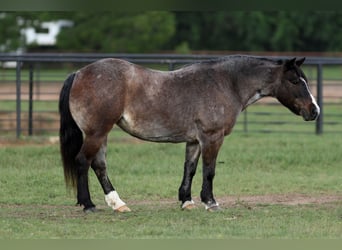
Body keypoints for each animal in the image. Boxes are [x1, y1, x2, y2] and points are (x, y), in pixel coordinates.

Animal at [59, 55, 320, 213]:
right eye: (295, 81)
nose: (314, 111)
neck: (227, 83)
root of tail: (79, 73)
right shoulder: (212, 137)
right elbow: (209, 170)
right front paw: (211, 202)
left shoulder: (194, 141)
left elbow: (191, 169)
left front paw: (187, 201)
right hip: (96, 133)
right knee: (83, 162)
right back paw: (88, 204)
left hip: (101, 134)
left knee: (99, 166)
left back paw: (118, 204)